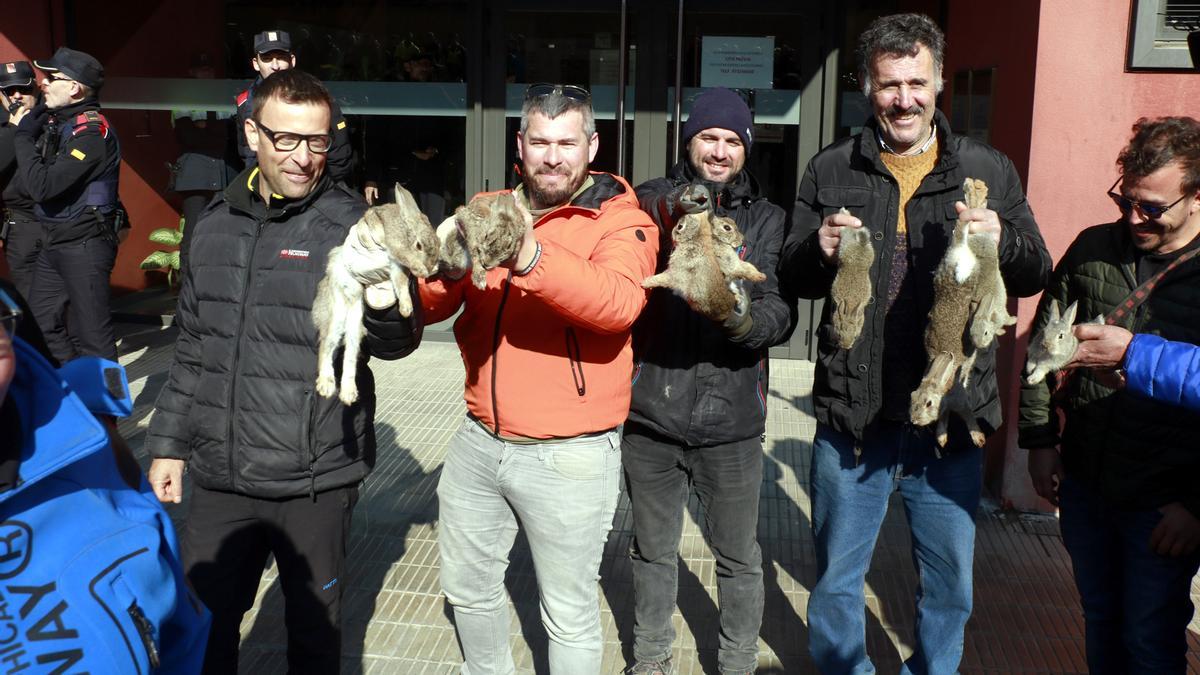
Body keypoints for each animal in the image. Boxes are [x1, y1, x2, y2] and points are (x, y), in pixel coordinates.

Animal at [312, 183, 439, 401]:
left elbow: (401, 284)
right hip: (335, 314)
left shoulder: (395, 268)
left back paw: (348, 393)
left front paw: (405, 309)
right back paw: (325, 386)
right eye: (419, 245)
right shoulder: (395, 248)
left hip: (355, 323)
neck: (406, 227)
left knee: (350, 355)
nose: (429, 269)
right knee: (325, 346)